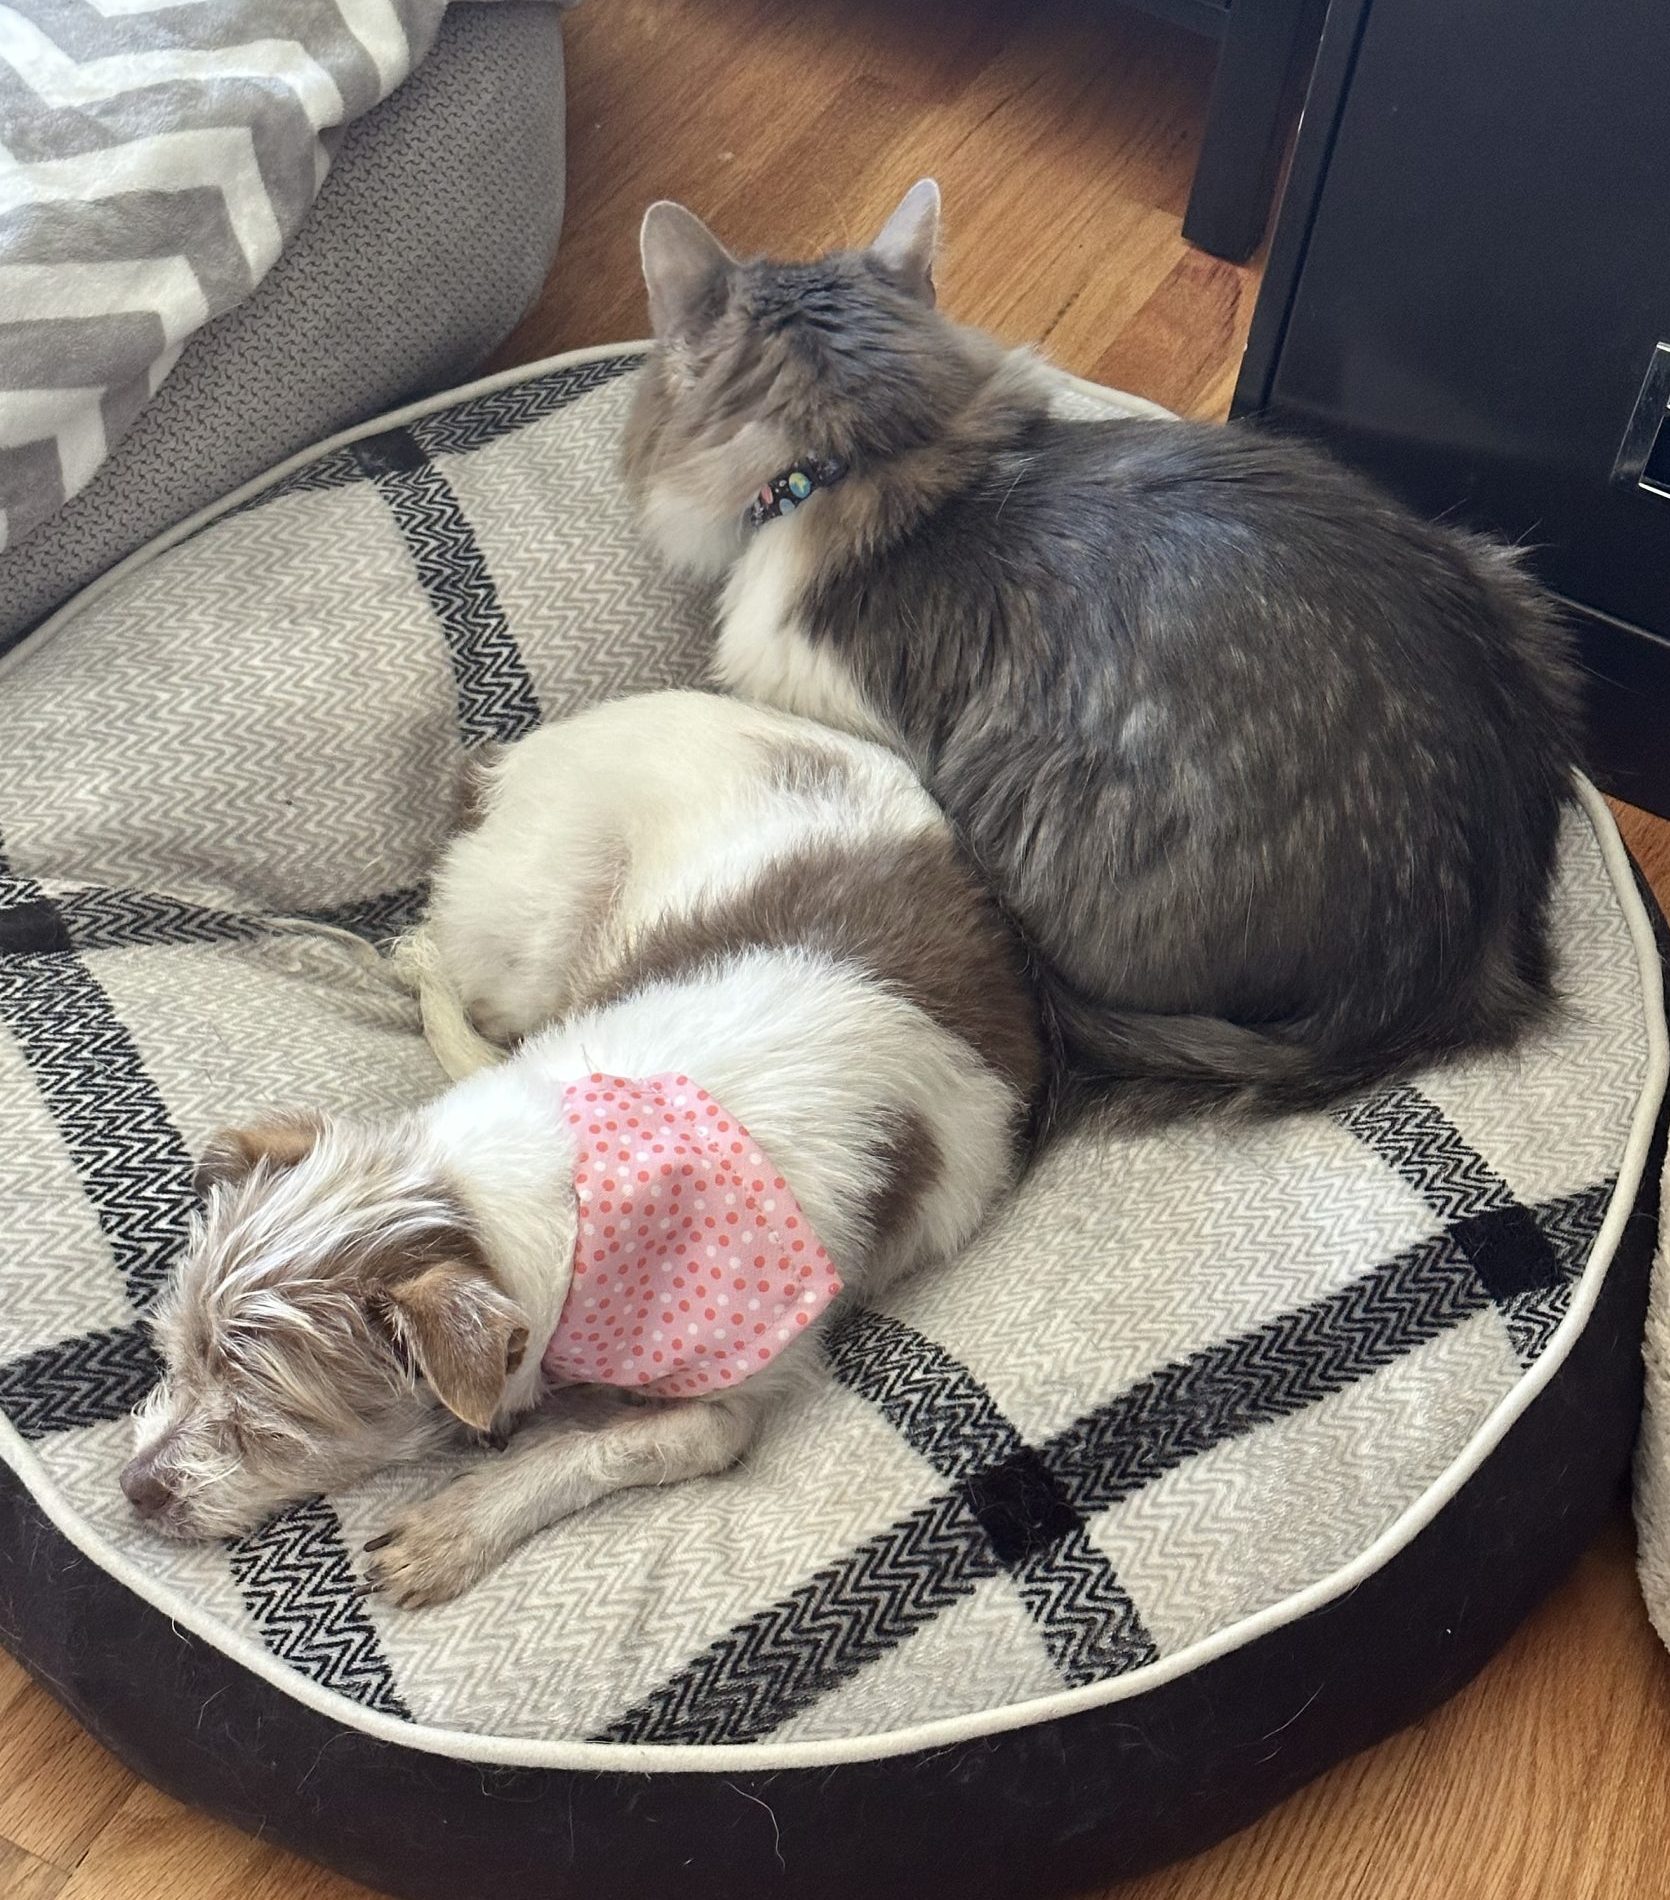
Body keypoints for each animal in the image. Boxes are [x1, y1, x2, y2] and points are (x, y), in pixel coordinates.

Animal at [124, 687, 1041, 1603]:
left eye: (271, 1420)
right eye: (179, 1358)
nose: (133, 1488)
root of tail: (530, 746)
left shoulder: (738, 1386)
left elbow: (618, 1446)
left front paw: (461, 1526)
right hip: (535, 936)